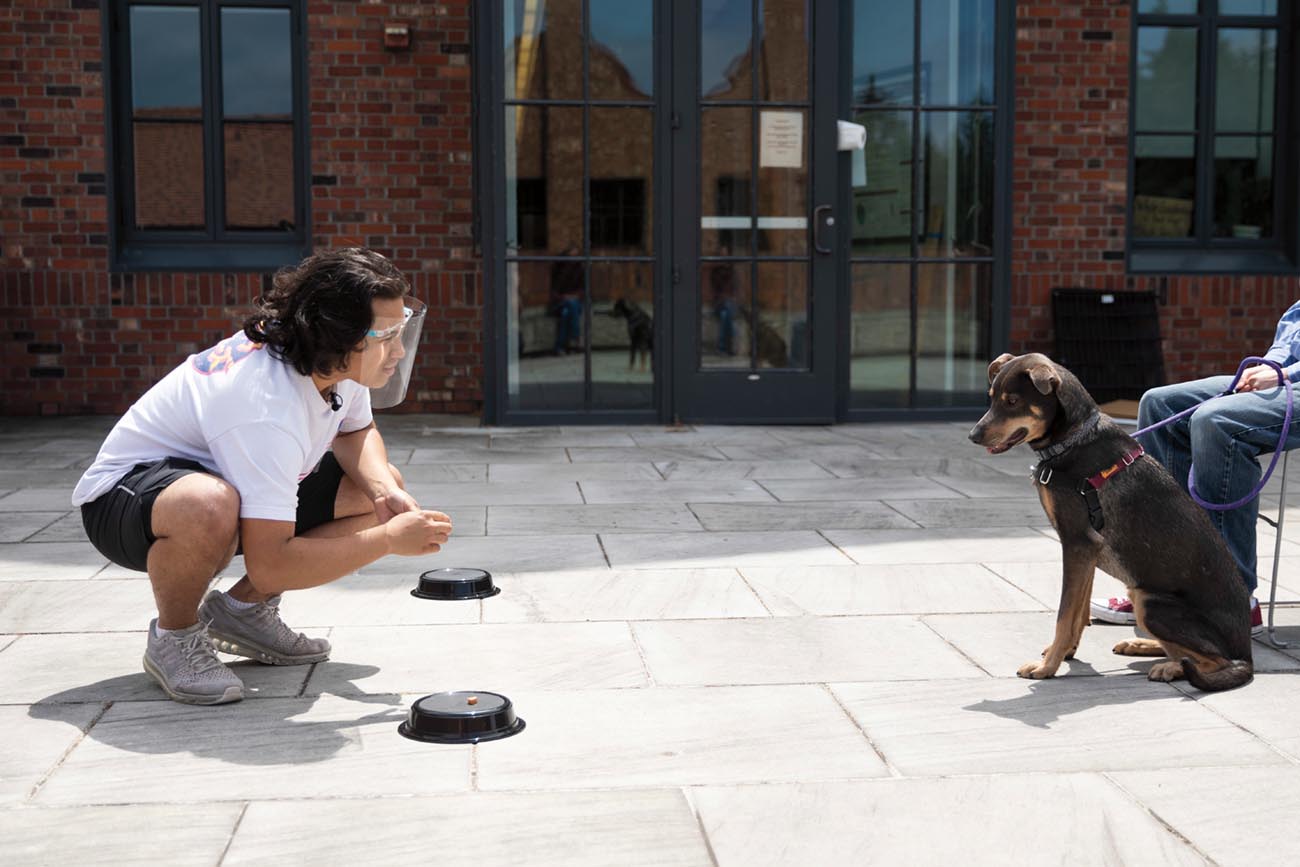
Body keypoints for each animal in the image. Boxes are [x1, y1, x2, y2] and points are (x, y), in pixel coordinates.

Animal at [972, 353, 1253, 691]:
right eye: (991, 398)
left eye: (1013, 401)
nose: (973, 436)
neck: (1072, 439)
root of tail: (1248, 652)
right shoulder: (1089, 549)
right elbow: (1078, 611)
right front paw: (1064, 652)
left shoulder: (1078, 543)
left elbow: (1064, 614)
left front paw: (1047, 666)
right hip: (1138, 593)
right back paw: (1144, 646)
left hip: (1149, 602)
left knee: (1215, 660)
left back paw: (1171, 667)